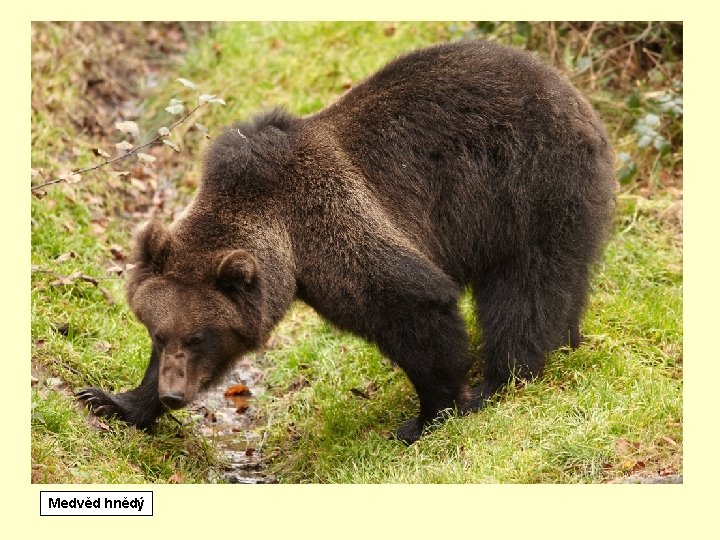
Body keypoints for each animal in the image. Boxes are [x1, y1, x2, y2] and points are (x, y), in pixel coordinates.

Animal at [76, 39, 612, 442]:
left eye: (199, 336)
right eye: (157, 333)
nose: (174, 394)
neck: (285, 241)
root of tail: (572, 92)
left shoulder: (332, 227)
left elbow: (414, 302)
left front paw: (428, 416)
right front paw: (110, 400)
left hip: (527, 190)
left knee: (526, 289)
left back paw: (500, 381)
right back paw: (567, 342)